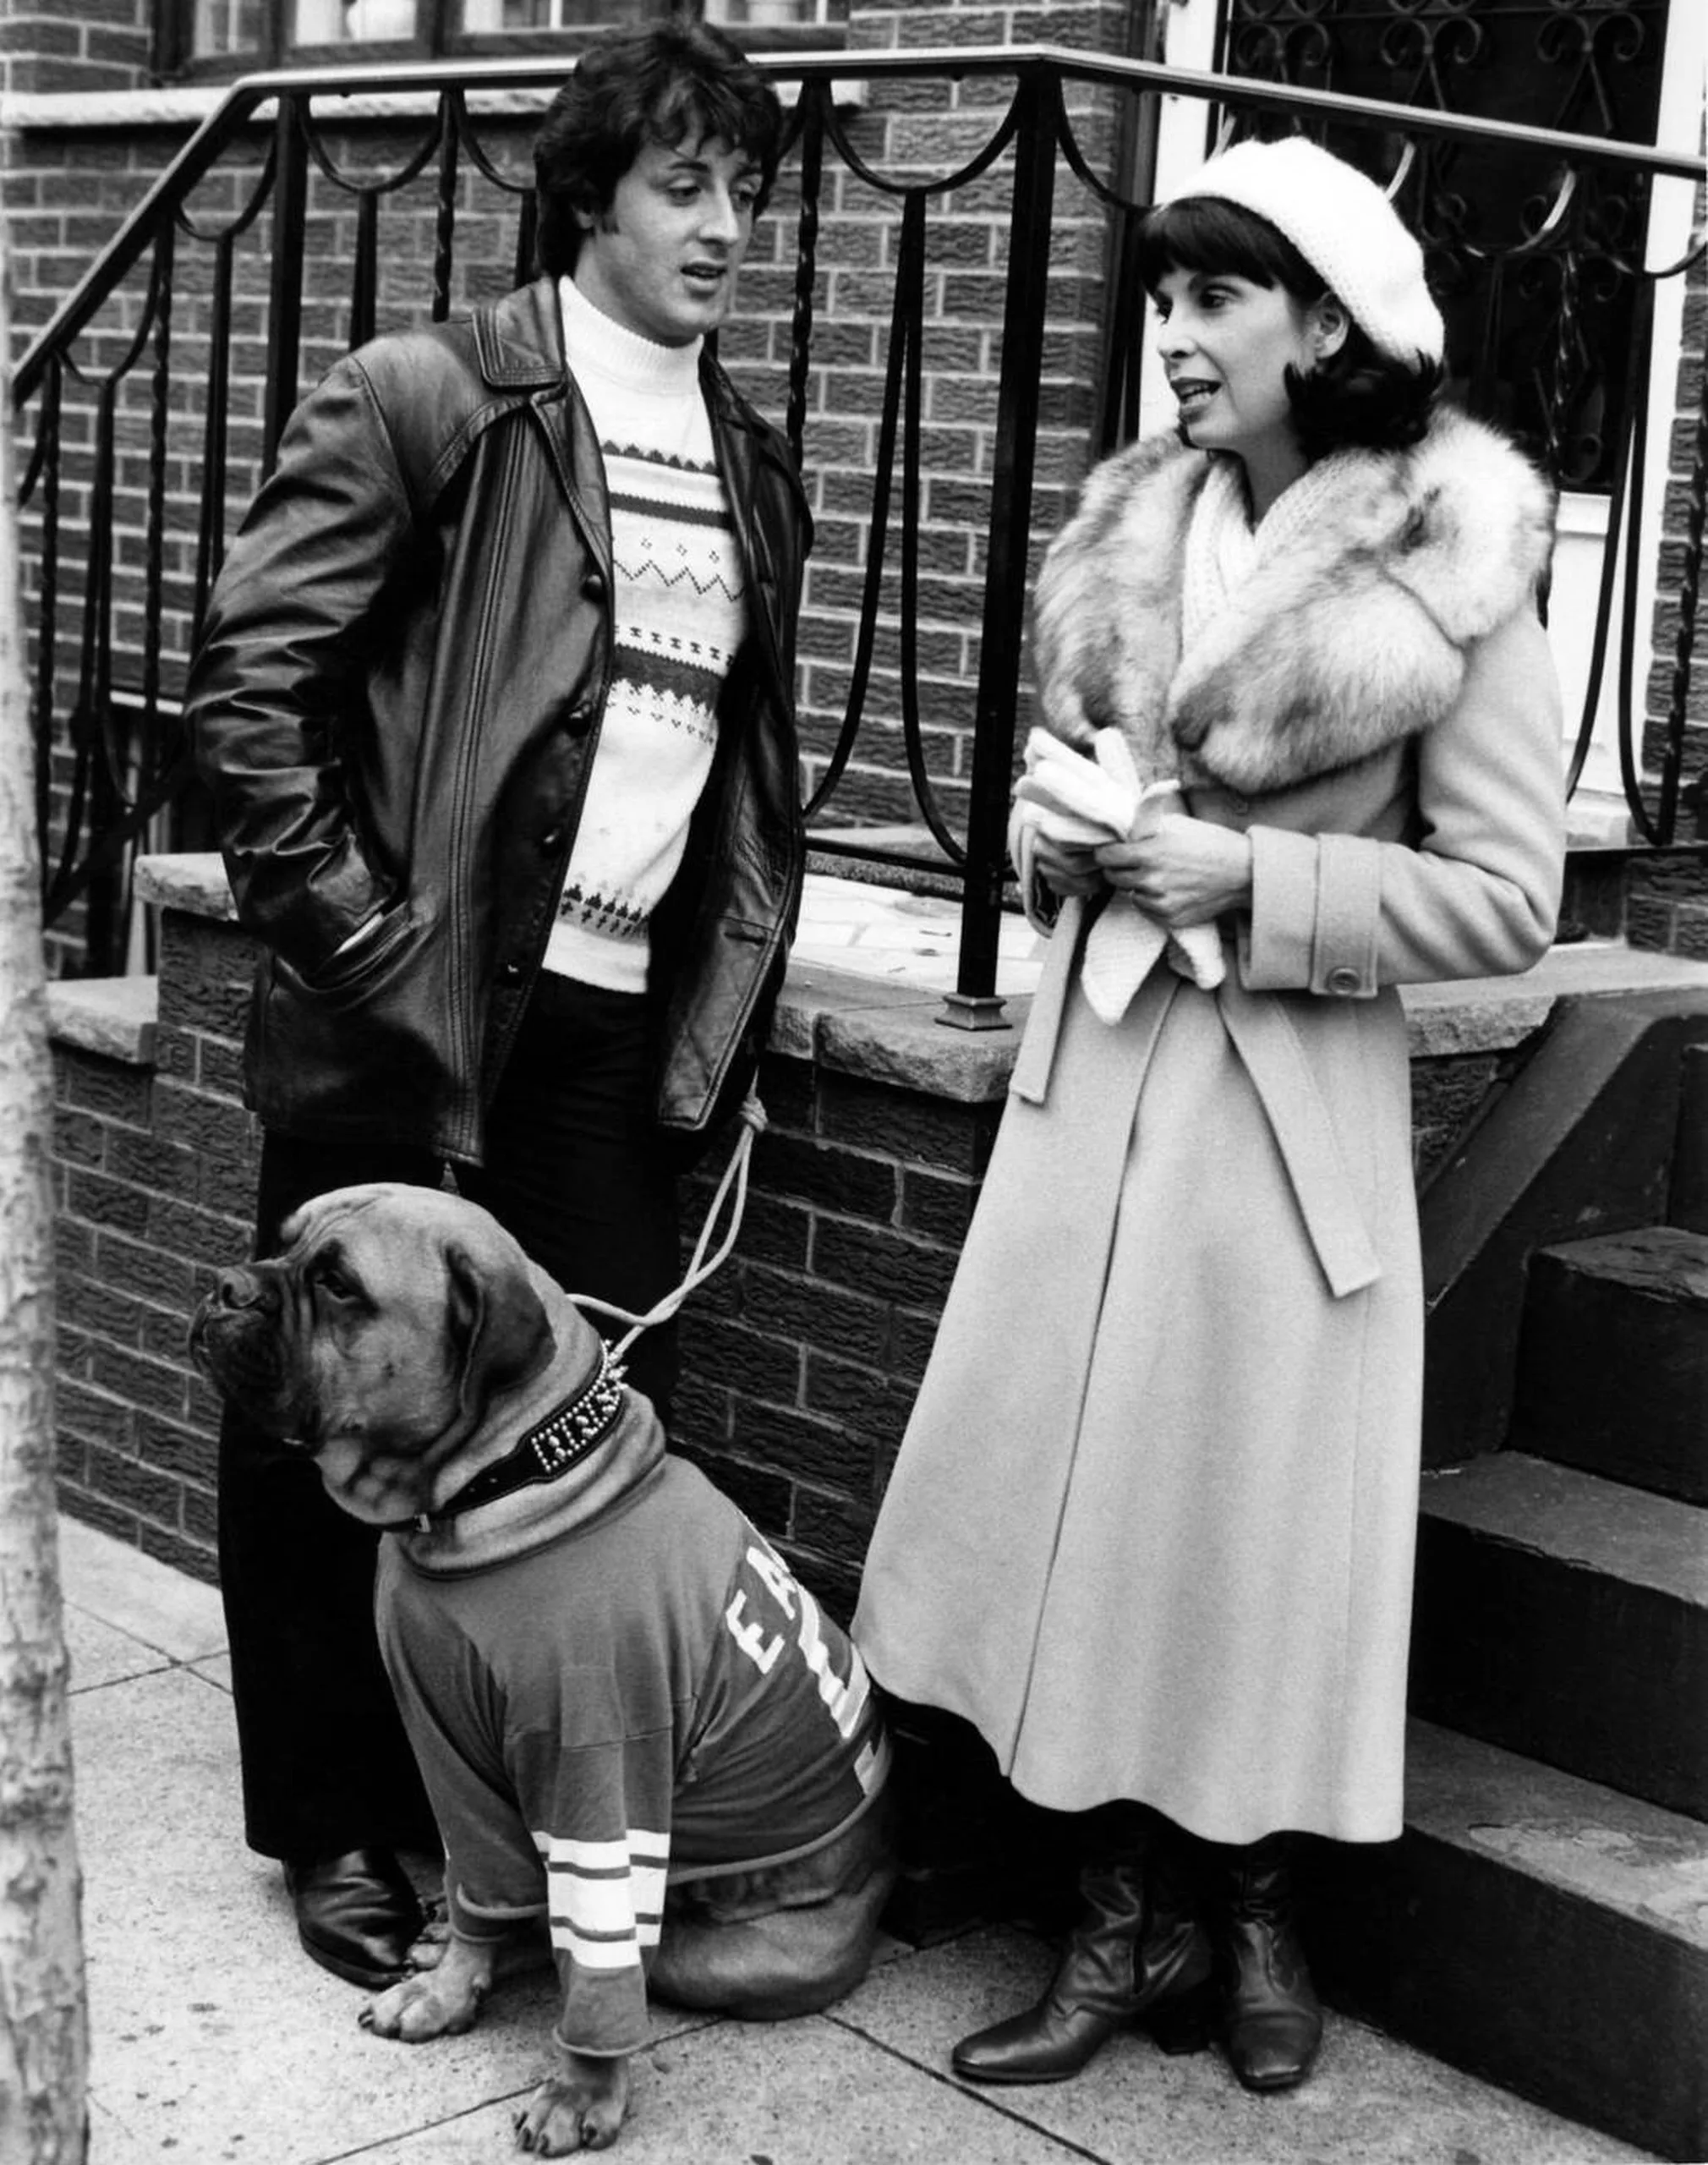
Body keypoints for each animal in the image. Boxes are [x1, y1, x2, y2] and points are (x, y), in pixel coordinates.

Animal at [189, 1195, 891, 2156]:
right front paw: (447, 1989)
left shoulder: (600, 1772)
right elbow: (479, 1886)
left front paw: (579, 2092)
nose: (224, 1285)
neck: (496, 1480)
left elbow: (593, 1957)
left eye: (337, 1283)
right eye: (283, 1240)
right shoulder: (448, 1752)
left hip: (732, 1955)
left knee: (621, 1957)